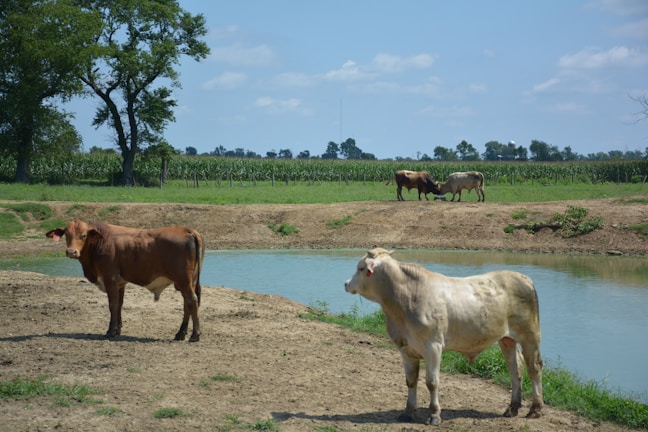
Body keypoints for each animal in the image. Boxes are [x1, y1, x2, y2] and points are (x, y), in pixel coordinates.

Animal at [46, 220, 205, 342]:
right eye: (66, 234)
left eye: (83, 235)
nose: (71, 252)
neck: (100, 242)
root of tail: (188, 230)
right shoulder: (120, 283)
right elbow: (120, 304)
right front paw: (118, 329)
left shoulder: (110, 279)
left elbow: (113, 305)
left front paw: (111, 331)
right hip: (188, 281)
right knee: (187, 304)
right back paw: (180, 334)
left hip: (183, 280)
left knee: (192, 301)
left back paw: (194, 335)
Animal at [344, 248, 543, 426]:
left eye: (360, 268)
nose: (345, 283)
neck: (403, 302)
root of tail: (523, 278)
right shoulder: (406, 348)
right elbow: (411, 381)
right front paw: (407, 412)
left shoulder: (433, 345)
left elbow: (432, 382)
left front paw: (434, 415)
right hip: (507, 339)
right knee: (515, 369)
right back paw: (512, 408)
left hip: (530, 335)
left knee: (534, 368)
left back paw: (535, 409)